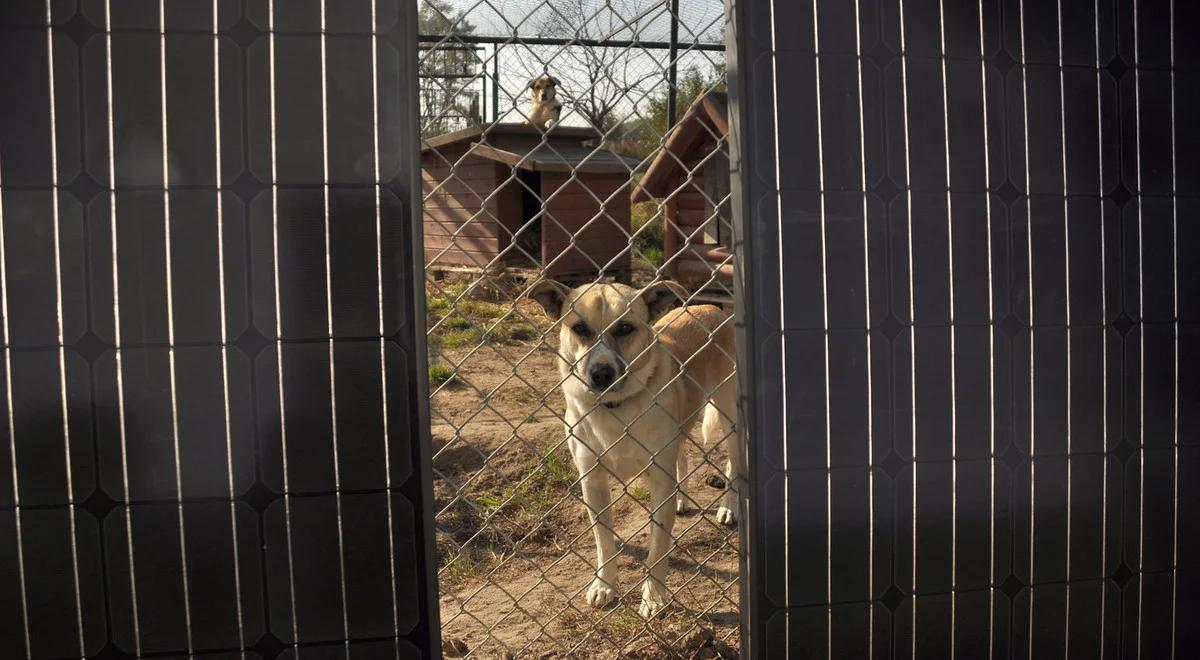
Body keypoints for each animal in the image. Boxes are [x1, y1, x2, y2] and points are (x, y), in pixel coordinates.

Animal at [528, 280, 739, 619]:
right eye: (579, 328)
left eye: (625, 327)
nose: (601, 373)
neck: (615, 409)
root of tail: (708, 307)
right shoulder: (593, 481)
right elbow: (603, 541)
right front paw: (604, 586)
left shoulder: (659, 481)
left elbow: (658, 547)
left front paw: (653, 597)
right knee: (681, 455)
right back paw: (682, 500)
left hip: (729, 415)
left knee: (732, 465)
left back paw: (729, 508)